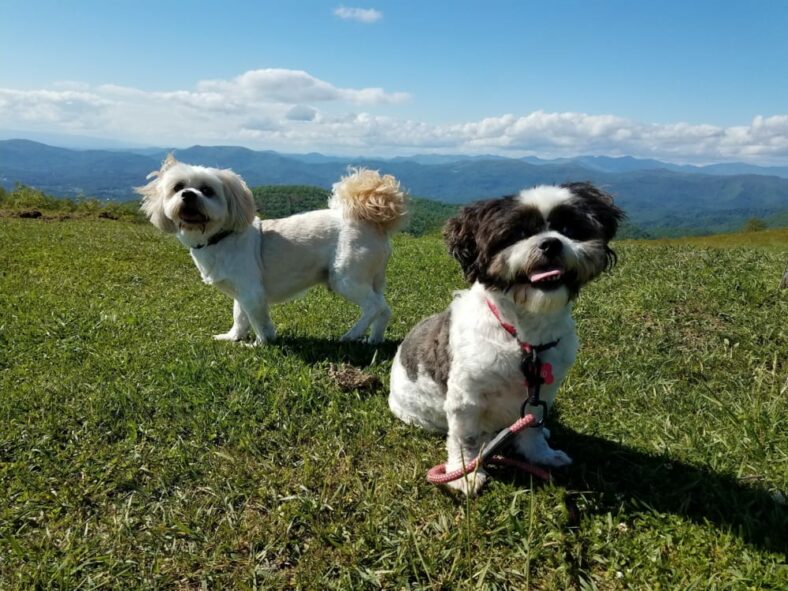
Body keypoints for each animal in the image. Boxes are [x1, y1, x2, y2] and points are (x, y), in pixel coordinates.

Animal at [137, 155, 406, 344]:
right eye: (177, 187)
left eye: (207, 190)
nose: (188, 195)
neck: (218, 239)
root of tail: (371, 221)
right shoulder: (241, 292)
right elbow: (239, 316)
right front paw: (233, 337)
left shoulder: (252, 291)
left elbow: (258, 320)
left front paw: (262, 343)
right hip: (372, 279)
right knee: (384, 309)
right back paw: (374, 339)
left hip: (345, 277)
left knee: (373, 306)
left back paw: (351, 335)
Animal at [388, 182, 620, 494]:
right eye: (518, 233)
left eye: (568, 228)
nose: (551, 243)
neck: (523, 337)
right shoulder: (466, 399)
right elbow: (464, 438)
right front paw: (465, 474)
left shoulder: (541, 394)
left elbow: (533, 425)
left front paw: (540, 454)